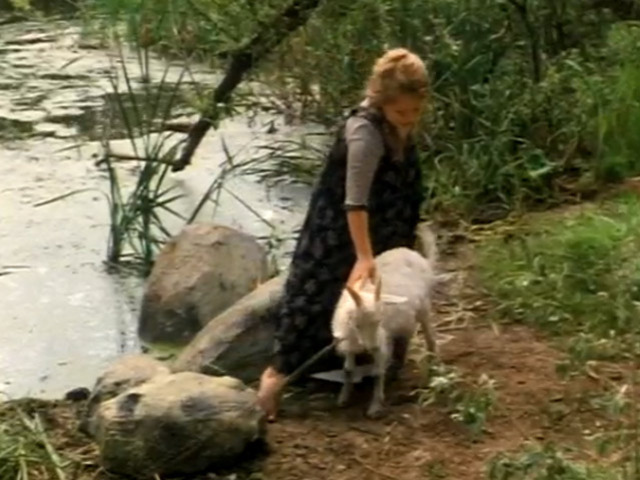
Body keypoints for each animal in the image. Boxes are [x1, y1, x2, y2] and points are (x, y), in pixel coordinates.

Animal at [331, 225, 440, 418]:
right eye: (356, 324)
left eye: (379, 321)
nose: (372, 346)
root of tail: (418, 257)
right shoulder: (349, 342)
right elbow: (348, 369)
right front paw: (343, 398)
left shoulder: (381, 341)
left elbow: (377, 372)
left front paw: (375, 407)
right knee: (406, 337)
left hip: (425, 306)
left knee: (430, 337)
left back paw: (432, 368)